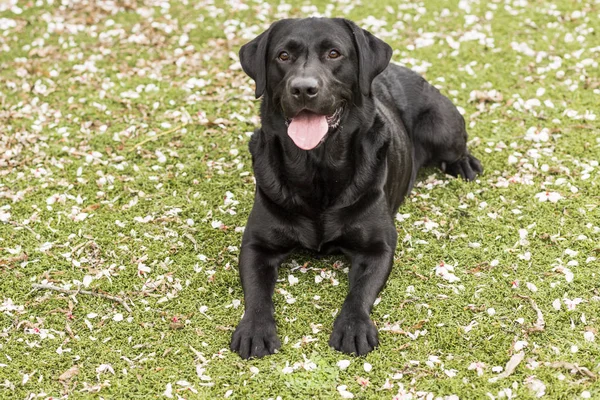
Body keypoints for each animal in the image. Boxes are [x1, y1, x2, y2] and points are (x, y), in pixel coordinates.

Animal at [230, 18, 482, 360]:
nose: (303, 88)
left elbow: (359, 292)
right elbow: (256, 292)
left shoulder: (377, 247)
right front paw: (255, 329)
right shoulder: (256, 245)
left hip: (442, 126)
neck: (318, 168)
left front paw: (353, 327)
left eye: (334, 53)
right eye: (283, 56)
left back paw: (465, 164)